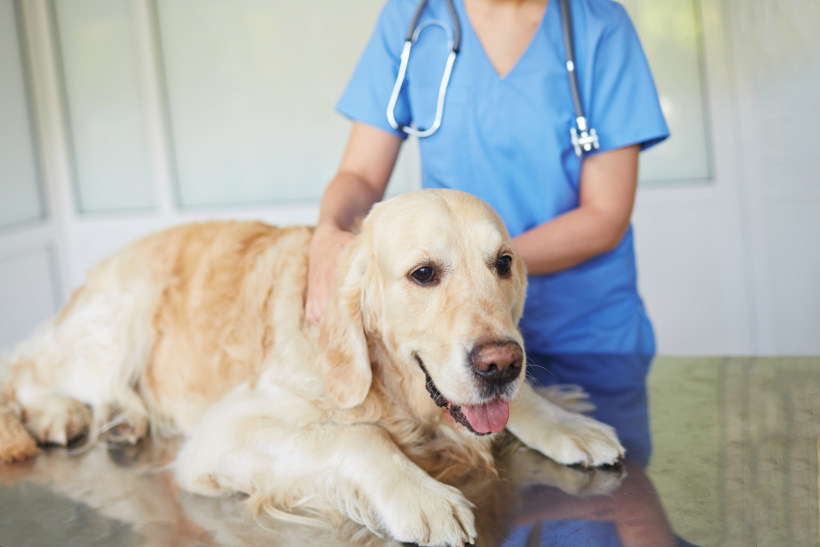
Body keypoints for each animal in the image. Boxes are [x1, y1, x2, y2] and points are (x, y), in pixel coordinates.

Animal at [0, 189, 620, 547]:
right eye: (423, 273)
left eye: (503, 263)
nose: (500, 363)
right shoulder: (228, 430)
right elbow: (361, 438)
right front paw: (423, 497)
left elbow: (524, 407)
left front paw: (567, 422)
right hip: (120, 313)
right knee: (27, 369)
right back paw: (60, 415)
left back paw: (121, 419)